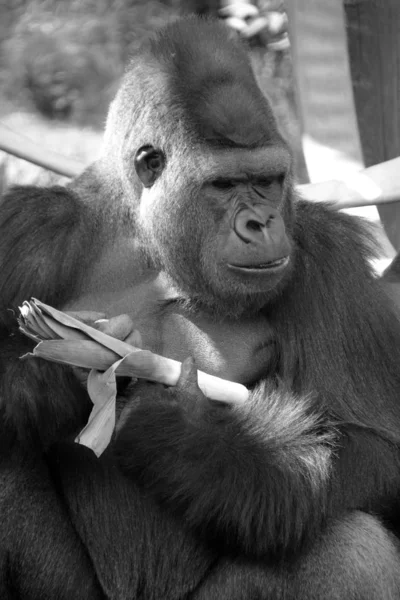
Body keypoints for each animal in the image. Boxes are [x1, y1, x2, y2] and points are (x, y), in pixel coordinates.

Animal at [0, 16, 400, 596]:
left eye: (268, 181)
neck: (147, 231)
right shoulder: (26, 229)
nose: (261, 224)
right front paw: (56, 377)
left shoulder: (328, 255)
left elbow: (376, 446)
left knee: (353, 548)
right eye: (225, 185)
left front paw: (185, 441)